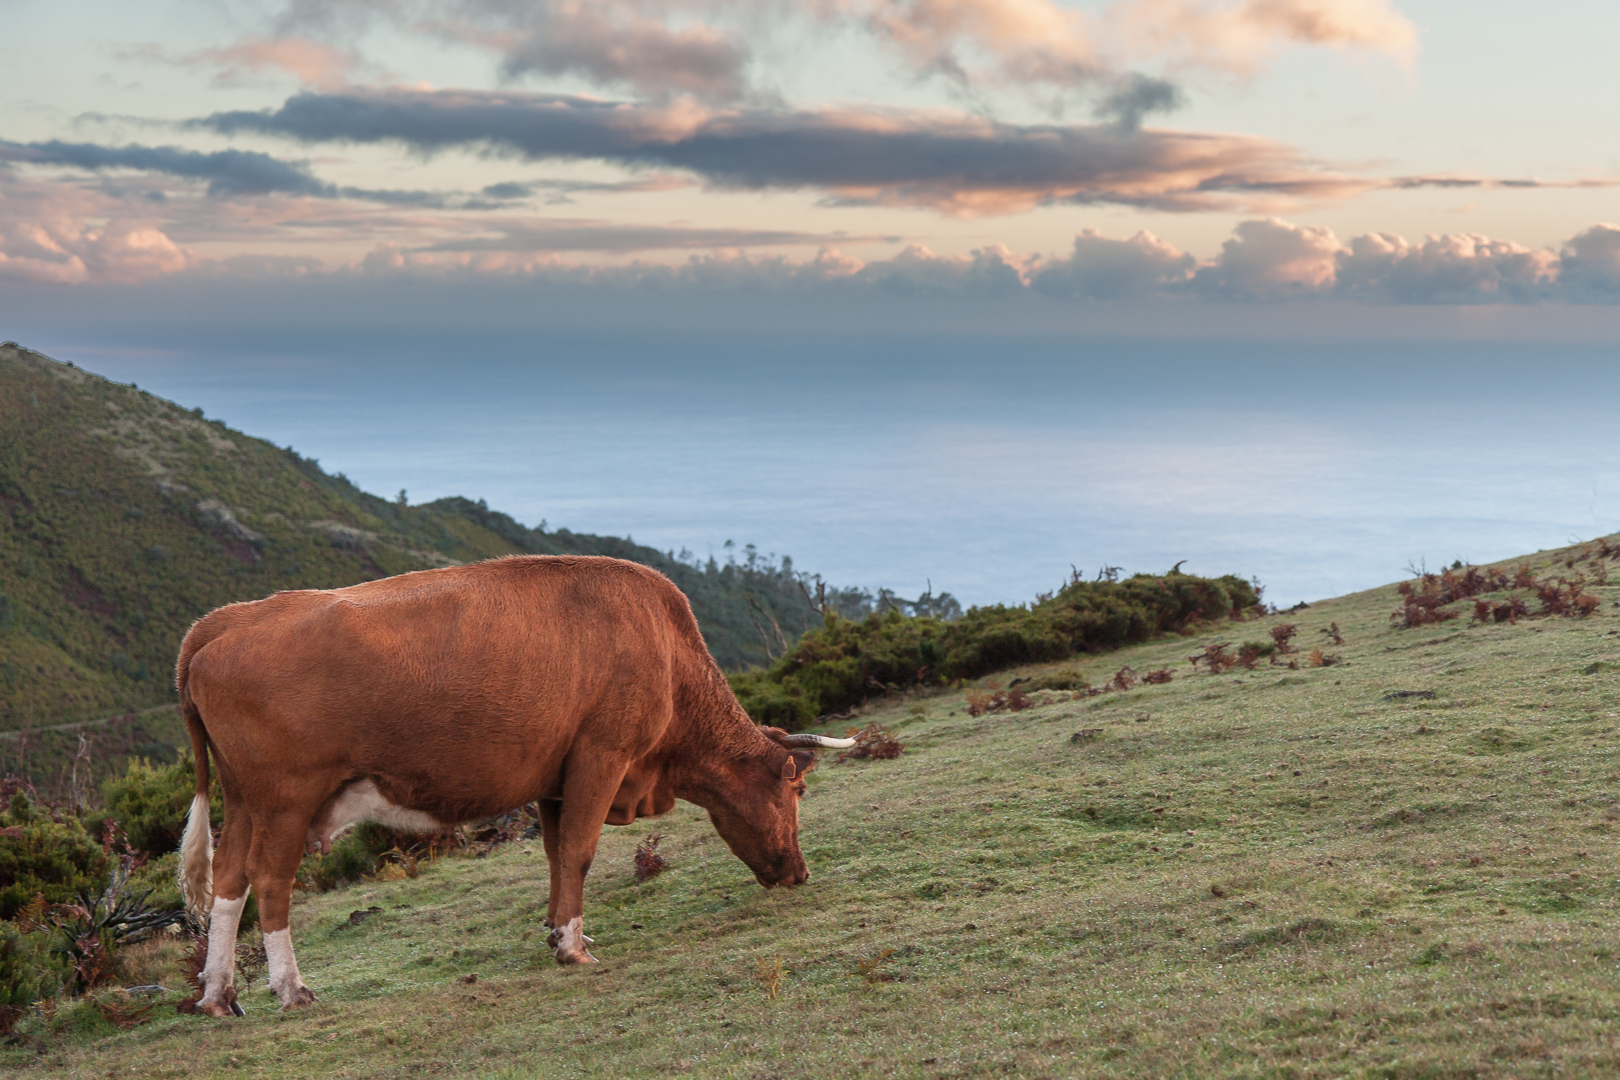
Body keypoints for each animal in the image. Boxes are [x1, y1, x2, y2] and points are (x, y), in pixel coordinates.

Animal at [177, 553, 855, 1016]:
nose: (799, 872)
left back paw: (218, 996)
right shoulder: (602, 755)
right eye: (797, 791)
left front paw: (560, 931)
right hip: (287, 797)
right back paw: (291, 989)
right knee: (270, 880)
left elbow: (556, 853)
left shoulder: (556, 777)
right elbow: (579, 851)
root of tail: (227, 619)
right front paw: (575, 950)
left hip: (242, 799)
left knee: (230, 882)